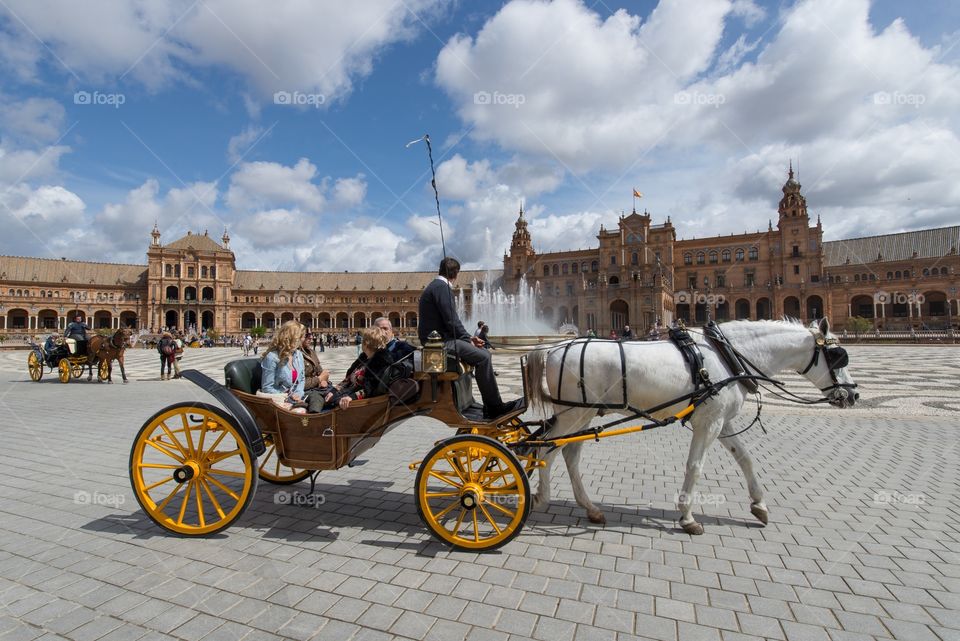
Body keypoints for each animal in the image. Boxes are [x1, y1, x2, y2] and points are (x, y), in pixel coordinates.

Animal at [522, 318, 858, 535]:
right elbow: (695, 466)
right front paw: (687, 517)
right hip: (573, 415)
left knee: (568, 454)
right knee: (547, 450)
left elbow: (745, 458)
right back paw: (539, 497)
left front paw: (759, 504)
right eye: (837, 356)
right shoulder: (708, 424)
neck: (728, 355)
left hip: (585, 415)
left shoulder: (722, 420)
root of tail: (552, 348)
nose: (853, 395)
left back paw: (589, 507)